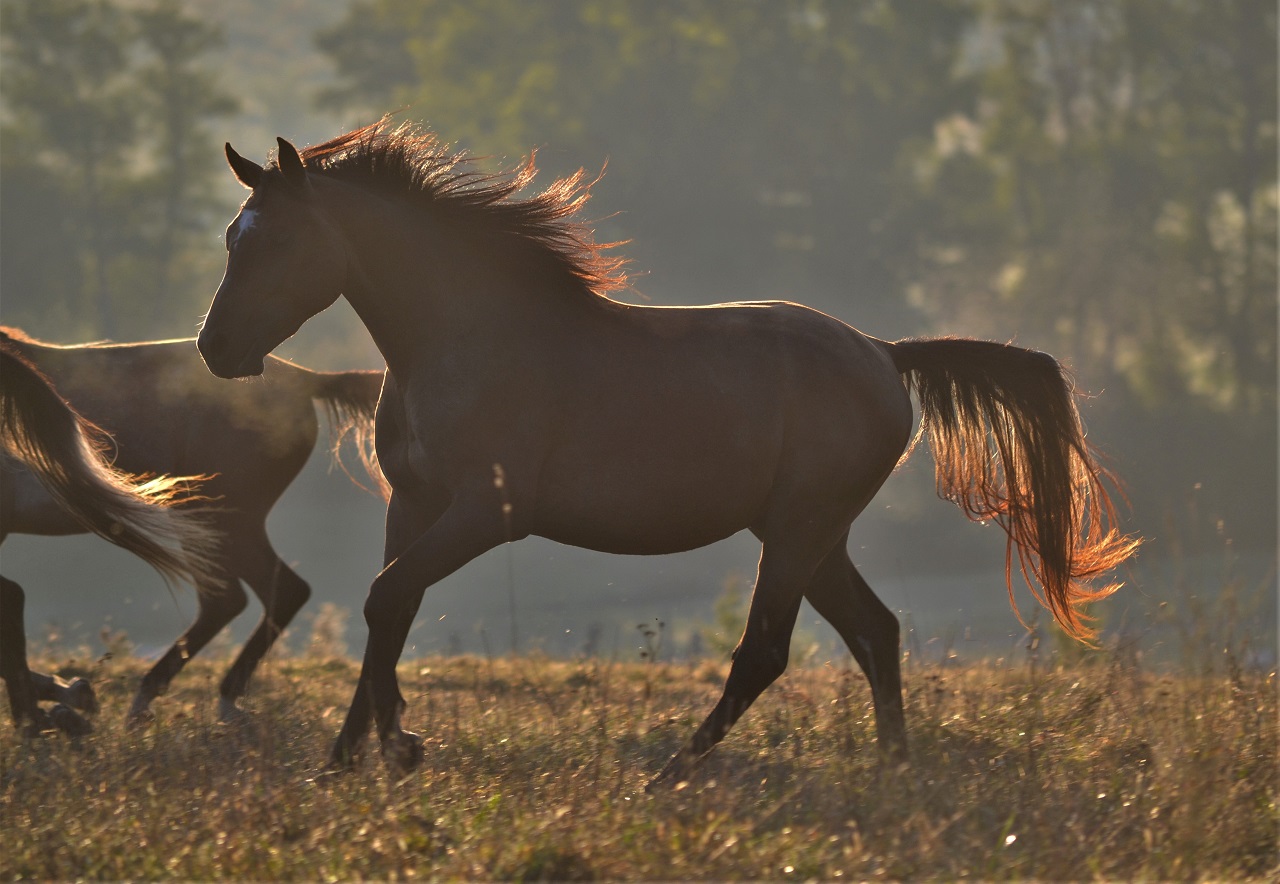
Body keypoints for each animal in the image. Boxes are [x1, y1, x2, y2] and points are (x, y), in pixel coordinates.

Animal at [194, 119, 1136, 788]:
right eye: (231, 237)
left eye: (275, 240)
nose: (214, 349)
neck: (467, 338)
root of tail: (885, 352)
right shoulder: (414, 503)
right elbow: (389, 609)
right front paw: (348, 759)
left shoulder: (486, 513)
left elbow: (387, 600)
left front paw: (401, 744)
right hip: (812, 536)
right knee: (877, 631)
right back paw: (893, 773)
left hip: (799, 532)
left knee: (766, 652)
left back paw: (672, 775)